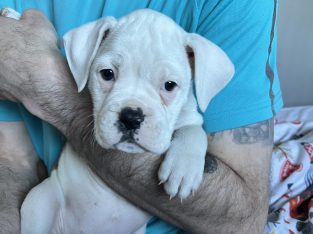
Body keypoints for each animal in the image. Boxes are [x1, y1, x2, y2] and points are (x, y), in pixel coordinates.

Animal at [0, 7, 234, 234]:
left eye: (169, 85)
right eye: (107, 74)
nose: (131, 118)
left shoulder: (191, 115)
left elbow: (194, 131)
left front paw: (184, 167)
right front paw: (12, 15)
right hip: (40, 201)